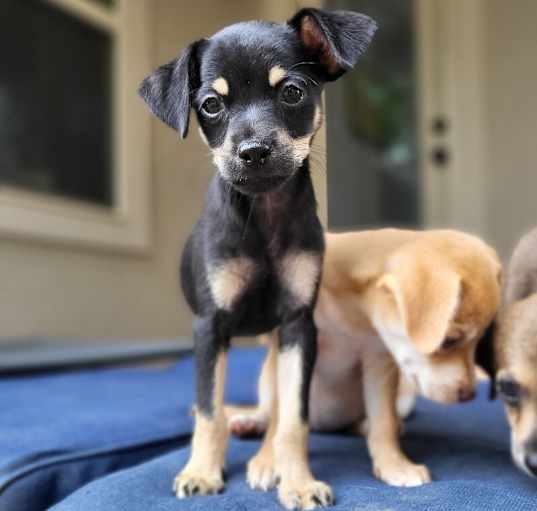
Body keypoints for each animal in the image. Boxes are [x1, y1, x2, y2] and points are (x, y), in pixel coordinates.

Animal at [138, 8, 376, 511]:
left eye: (292, 92)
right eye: (210, 104)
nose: (253, 152)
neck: (264, 213)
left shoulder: (298, 325)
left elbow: (294, 417)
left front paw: (299, 481)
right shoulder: (211, 326)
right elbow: (209, 411)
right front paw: (201, 473)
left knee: (277, 409)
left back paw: (266, 457)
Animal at [227, 230, 502, 490]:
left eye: (477, 343)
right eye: (449, 341)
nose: (469, 395)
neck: (353, 310)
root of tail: (321, 426)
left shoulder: (379, 363)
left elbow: (384, 422)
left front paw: (395, 465)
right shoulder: (288, 349)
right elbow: (280, 417)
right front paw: (269, 461)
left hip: (404, 397)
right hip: (266, 380)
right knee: (265, 411)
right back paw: (248, 422)